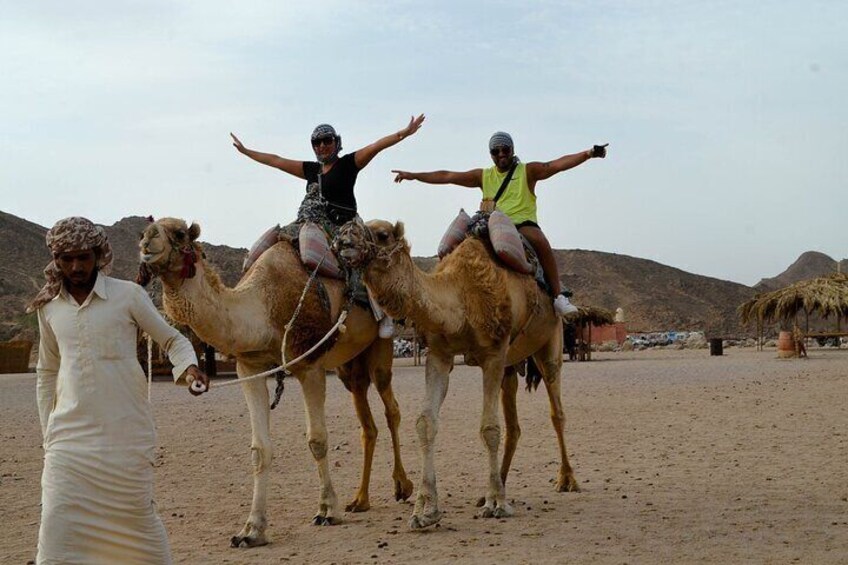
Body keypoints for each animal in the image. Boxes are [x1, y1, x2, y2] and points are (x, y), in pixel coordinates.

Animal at [137, 217, 412, 548]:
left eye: (178, 233)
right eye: (145, 231)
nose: (146, 242)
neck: (262, 308)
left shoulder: (309, 365)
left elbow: (317, 440)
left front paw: (327, 510)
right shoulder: (248, 367)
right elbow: (260, 449)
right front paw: (251, 530)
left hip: (381, 343)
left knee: (392, 409)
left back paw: (403, 487)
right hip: (349, 364)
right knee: (367, 422)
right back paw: (360, 500)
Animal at [334, 219, 580, 528]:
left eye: (382, 234)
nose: (343, 236)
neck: (460, 298)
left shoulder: (494, 353)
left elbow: (489, 427)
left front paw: (496, 505)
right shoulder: (440, 354)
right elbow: (426, 422)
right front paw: (425, 511)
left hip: (550, 341)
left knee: (556, 409)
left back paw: (566, 480)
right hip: (511, 365)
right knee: (513, 424)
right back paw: (496, 486)